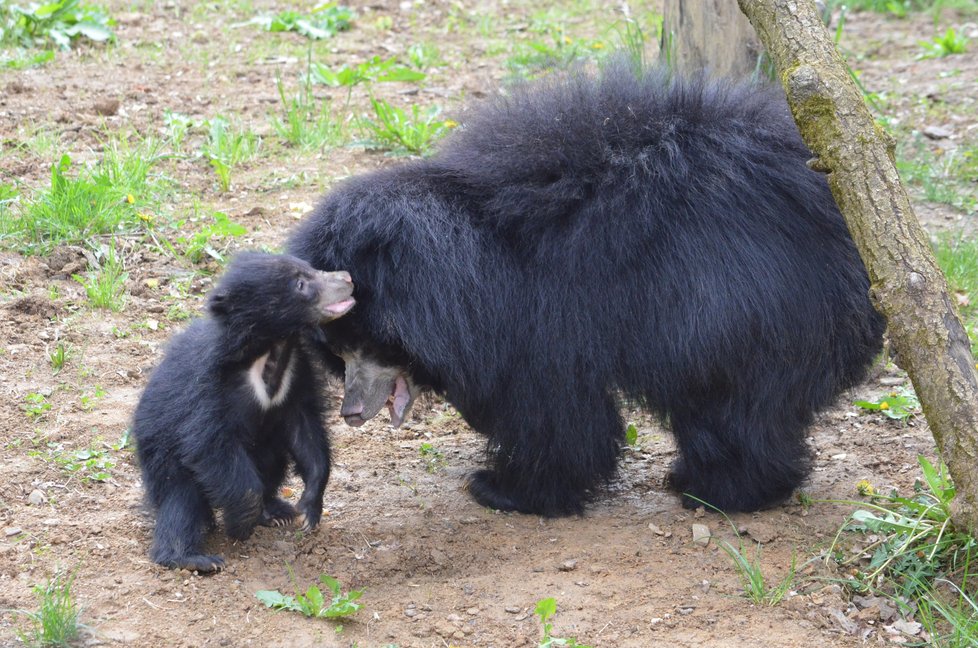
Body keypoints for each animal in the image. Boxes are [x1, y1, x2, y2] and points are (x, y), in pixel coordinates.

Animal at [290, 62, 884, 516]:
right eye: (339, 353)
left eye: (368, 344)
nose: (351, 413)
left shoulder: (545, 316)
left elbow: (553, 410)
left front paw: (505, 489)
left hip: (735, 313)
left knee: (728, 405)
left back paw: (719, 491)